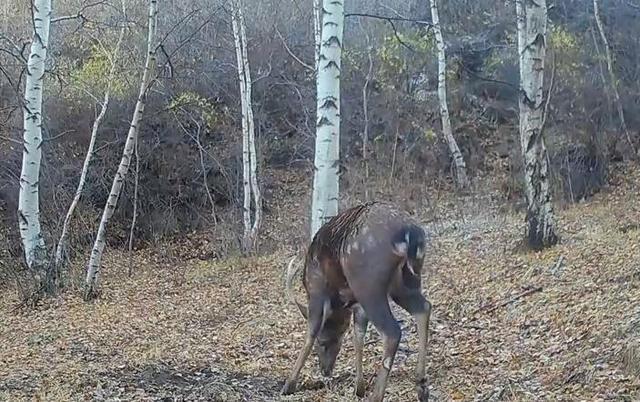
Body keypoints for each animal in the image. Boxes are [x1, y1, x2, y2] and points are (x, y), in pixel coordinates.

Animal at [280, 203, 430, 402]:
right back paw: (421, 384)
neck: (338, 300)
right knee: (424, 308)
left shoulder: (317, 291)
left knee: (392, 331)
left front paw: (289, 385)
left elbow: (310, 334)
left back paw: (377, 395)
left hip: (368, 285)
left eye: (323, 342)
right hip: (405, 282)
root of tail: (409, 234)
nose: (325, 371)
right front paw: (359, 388)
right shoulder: (357, 304)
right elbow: (358, 336)